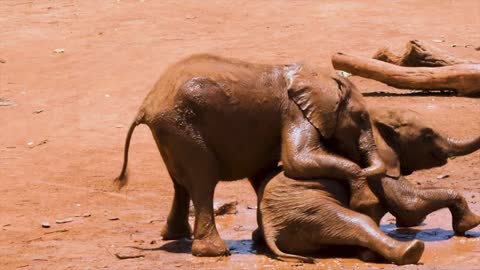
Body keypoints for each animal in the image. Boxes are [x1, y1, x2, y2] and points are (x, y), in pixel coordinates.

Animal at [114, 53, 384, 256]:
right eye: (361, 117)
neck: (321, 76)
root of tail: (147, 104)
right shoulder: (293, 112)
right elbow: (297, 161)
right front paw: (365, 201)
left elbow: (264, 172)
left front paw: (261, 237)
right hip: (181, 125)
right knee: (203, 180)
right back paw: (215, 252)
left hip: (170, 130)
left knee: (180, 183)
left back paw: (176, 235)